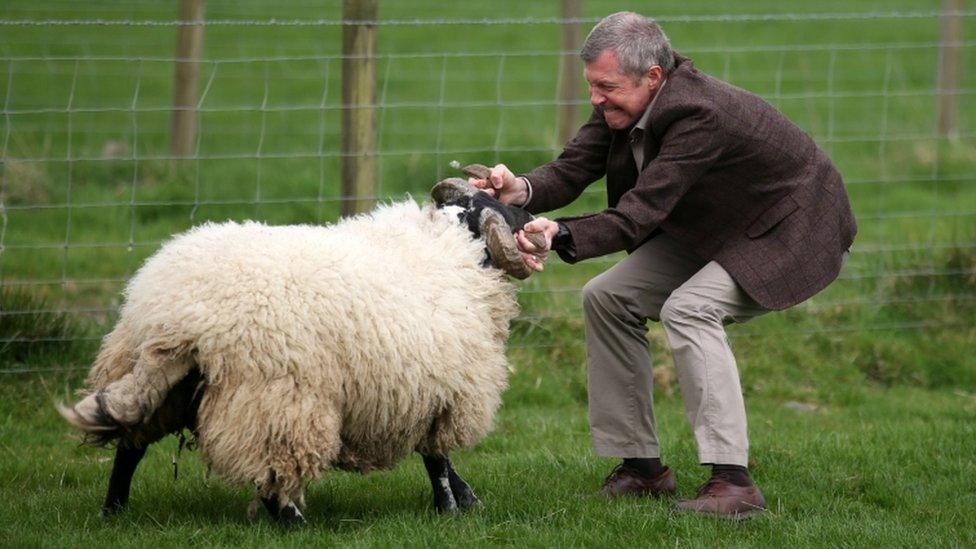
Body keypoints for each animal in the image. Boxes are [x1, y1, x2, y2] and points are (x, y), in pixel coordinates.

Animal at [60, 178, 540, 524]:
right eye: (499, 207)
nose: (530, 213)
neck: (450, 248)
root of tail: (175, 321)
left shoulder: (424, 393)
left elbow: (441, 461)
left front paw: (469, 500)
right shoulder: (440, 392)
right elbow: (437, 460)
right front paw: (450, 509)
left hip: (152, 382)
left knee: (129, 449)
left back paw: (112, 513)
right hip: (276, 400)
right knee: (272, 473)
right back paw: (296, 523)